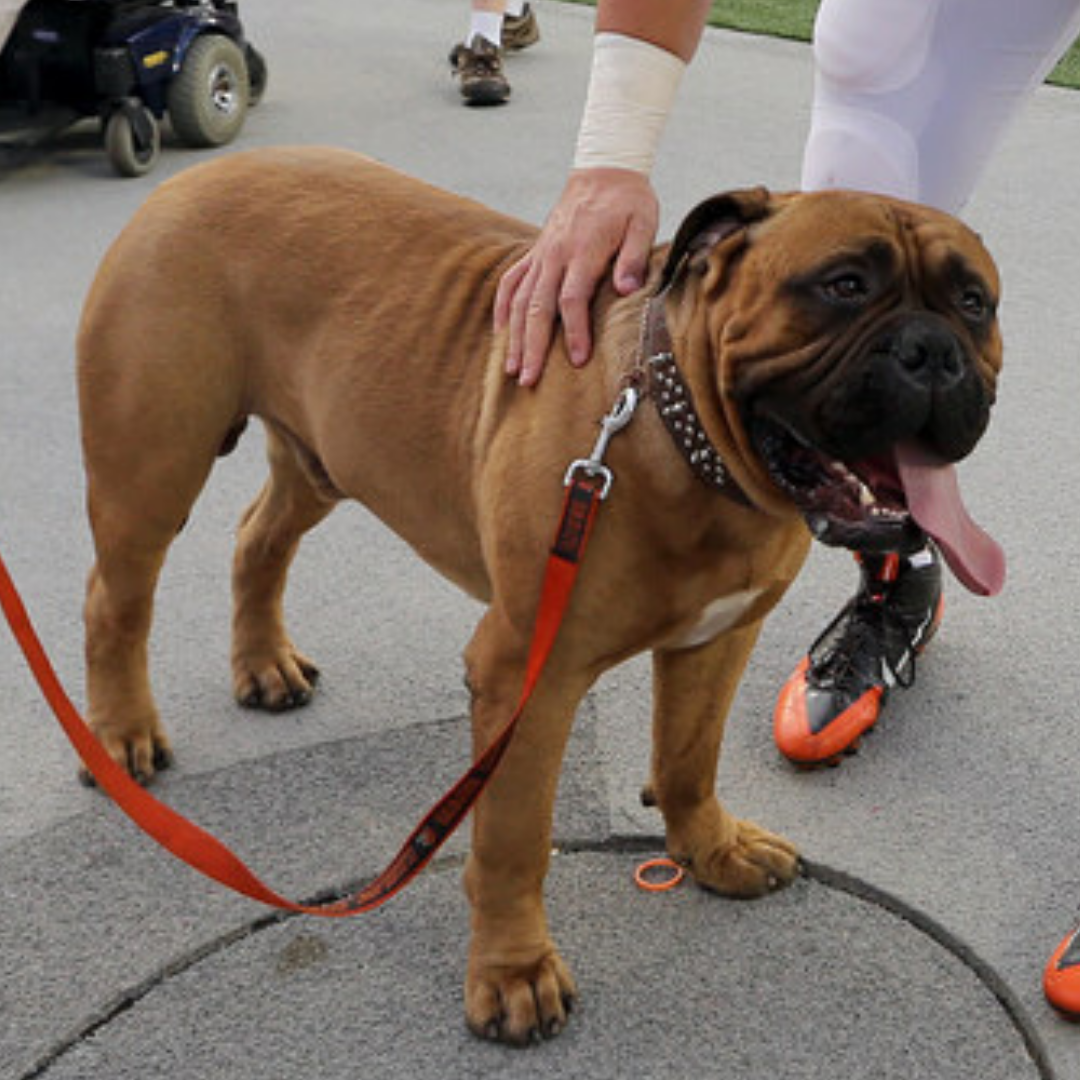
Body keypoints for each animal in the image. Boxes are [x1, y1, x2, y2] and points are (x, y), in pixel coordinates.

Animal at [76, 145, 1002, 1045]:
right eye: (843, 285)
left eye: (975, 302)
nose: (934, 351)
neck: (679, 430)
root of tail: (196, 175)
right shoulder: (529, 674)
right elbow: (515, 837)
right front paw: (513, 972)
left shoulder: (719, 638)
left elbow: (688, 757)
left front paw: (710, 849)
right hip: (152, 466)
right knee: (114, 601)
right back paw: (121, 734)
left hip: (321, 457)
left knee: (259, 538)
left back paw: (264, 664)